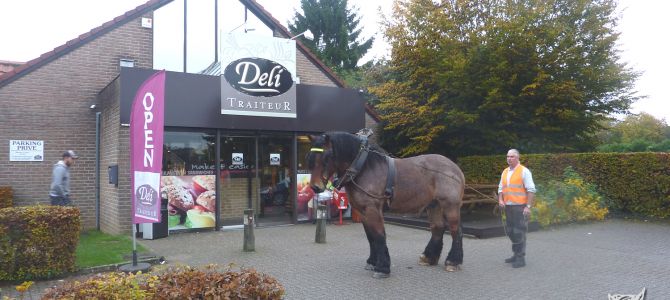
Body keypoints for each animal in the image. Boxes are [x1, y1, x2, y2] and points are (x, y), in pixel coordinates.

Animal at [310, 131, 468, 278]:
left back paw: (453, 261)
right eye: (310, 157)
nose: (315, 187)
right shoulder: (362, 212)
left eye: (326, 157)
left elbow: (379, 235)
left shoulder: (373, 209)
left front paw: (382, 268)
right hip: (434, 205)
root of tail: (455, 168)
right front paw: (372, 262)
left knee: (456, 230)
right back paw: (429, 258)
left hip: (450, 205)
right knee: (438, 228)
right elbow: (371, 237)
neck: (364, 168)